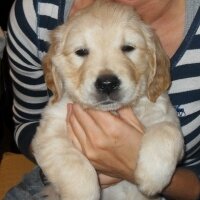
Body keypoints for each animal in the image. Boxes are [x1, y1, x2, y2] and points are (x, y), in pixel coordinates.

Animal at [31, 0, 184, 199]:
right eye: (81, 51)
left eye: (128, 48)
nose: (107, 83)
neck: (112, 112)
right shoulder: (50, 134)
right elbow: (75, 165)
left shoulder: (163, 114)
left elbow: (167, 131)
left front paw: (152, 178)